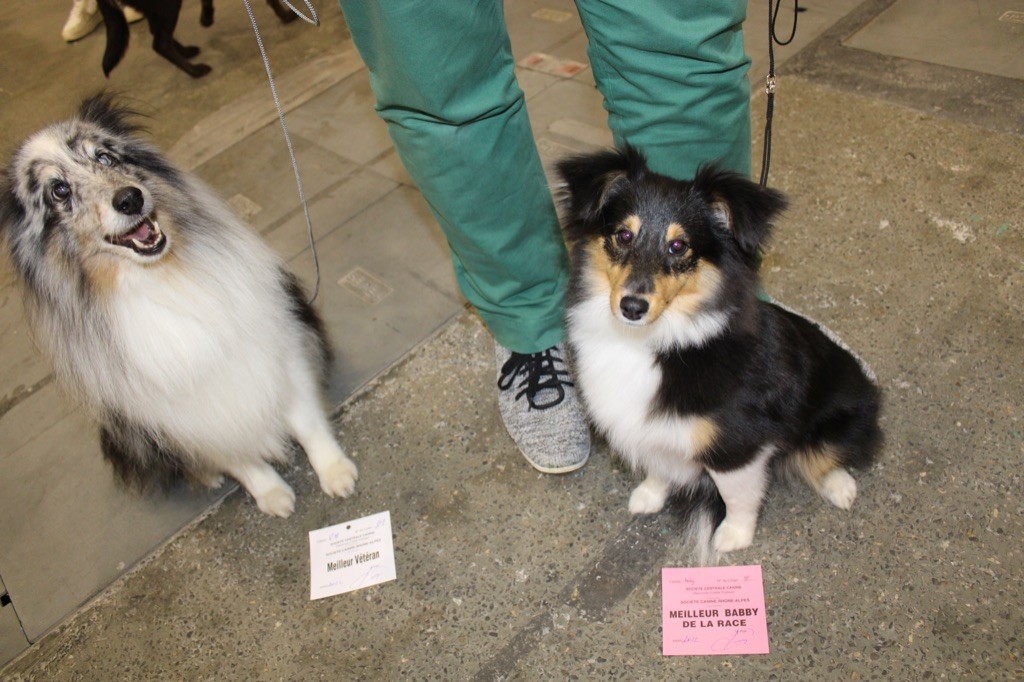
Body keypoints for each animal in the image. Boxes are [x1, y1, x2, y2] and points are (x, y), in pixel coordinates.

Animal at [0, 96, 360, 516]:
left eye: (105, 157)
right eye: (58, 191)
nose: (130, 198)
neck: (162, 277)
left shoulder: (276, 347)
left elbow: (306, 422)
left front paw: (335, 471)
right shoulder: (181, 412)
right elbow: (237, 457)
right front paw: (270, 493)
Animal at [557, 146, 884, 557]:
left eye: (678, 246)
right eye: (623, 235)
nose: (632, 306)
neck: (655, 342)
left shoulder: (737, 446)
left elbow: (737, 495)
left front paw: (733, 536)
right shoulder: (650, 427)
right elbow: (657, 465)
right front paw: (649, 495)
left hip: (840, 416)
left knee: (828, 453)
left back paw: (840, 486)